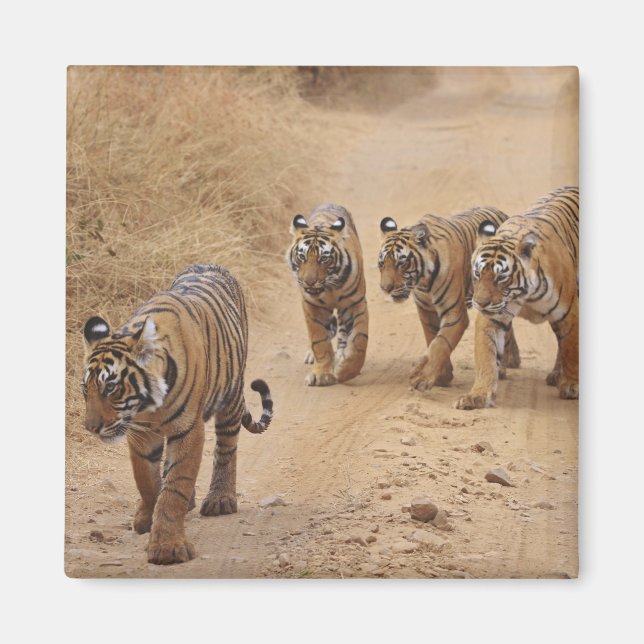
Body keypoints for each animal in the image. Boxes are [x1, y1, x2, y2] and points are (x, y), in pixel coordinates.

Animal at [81, 264, 273, 565]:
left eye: (110, 388)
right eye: (84, 390)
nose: (91, 427)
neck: (149, 404)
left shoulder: (188, 430)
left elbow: (175, 487)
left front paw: (167, 547)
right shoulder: (141, 434)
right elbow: (147, 481)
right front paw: (146, 518)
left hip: (230, 397)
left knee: (226, 449)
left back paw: (220, 500)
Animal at [287, 203, 368, 386]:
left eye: (324, 259)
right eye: (301, 257)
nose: (308, 282)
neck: (330, 287)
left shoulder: (355, 303)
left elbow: (359, 340)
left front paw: (346, 371)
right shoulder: (312, 306)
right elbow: (319, 342)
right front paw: (322, 374)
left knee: (344, 334)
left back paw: (341, 356)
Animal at [378, 206, 521, 392]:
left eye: (401, 264)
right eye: (381, 264)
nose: (385, 288)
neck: (424, 282)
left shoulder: (455, 314)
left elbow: (441, 343)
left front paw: (423, 378)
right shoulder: (426, 311)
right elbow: (432, 339)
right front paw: (443, 377)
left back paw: (503, 368)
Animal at [455, 186, 579, 410]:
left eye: (501, 277)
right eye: (477, 273)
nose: (480, 303)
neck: (525, 296)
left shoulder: (569, 313)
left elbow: (571, 350)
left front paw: (572, 385)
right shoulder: (492, 317)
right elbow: (487, 357)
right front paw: (477, 395)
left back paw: (558, 376)